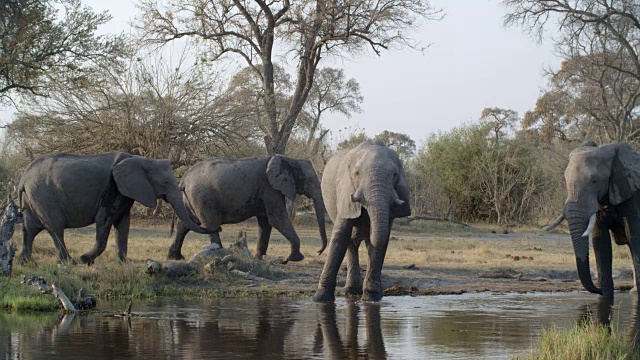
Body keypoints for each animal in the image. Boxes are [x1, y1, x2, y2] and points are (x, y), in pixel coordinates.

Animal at [18, 152, 215, 264]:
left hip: (33, 197)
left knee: (30, 227)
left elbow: (123, 224)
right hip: (44, 196)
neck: (141, 159)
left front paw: (122, 262)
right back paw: (69, 262)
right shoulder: (112, 187)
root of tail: (23, 177)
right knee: (56, 228)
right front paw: (85, 259)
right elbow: (104, 220)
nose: (218, 227)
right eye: (166, 182)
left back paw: (26, 262)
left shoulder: (125, 191)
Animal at [168, 154, 328, 262]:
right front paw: (294, 258)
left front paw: (259, 258)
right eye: (309, 180)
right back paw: (218, 254)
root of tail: (183, 179)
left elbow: (266, 222)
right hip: (202, 198)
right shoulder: (270, 189)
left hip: (188, 198)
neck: (289, 159)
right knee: (210, 224)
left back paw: (175, 258)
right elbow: (277, 219)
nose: (318, 252)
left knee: (186, 224)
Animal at [314, 141, 412, 300]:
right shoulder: (345, 192)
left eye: (395, 175)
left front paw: (372, 298)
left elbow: (381, 242)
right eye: (357, 174)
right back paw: (351, 291)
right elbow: (340, 236)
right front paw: (319, 299)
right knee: (349, 244)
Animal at [544, 142, 640, 300]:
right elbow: (600, 241)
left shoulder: (633, 197)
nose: (598, 289)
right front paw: (605, 297)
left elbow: (635, 238)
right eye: (565, 180)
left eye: (595, 181)